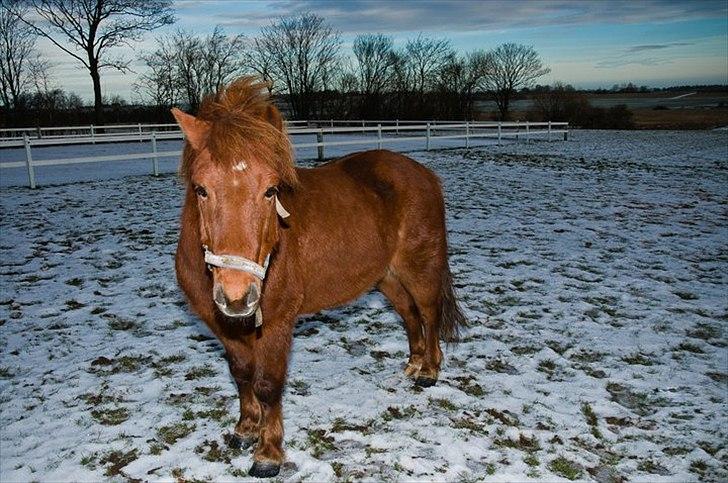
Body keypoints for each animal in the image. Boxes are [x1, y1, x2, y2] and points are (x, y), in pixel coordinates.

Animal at [171, 77, 466, 478]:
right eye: (201, 189)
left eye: (271, 190)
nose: (237, 294)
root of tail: (422, 173)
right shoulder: (224, 326)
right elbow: (241, 373)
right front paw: (245, 428)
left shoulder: (277, 324)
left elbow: (268, 383)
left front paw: (268, 453)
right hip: (386, 276)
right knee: (409, 315)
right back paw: (413, 364)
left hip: (419, 267)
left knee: (429, 312)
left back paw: (429, 371)